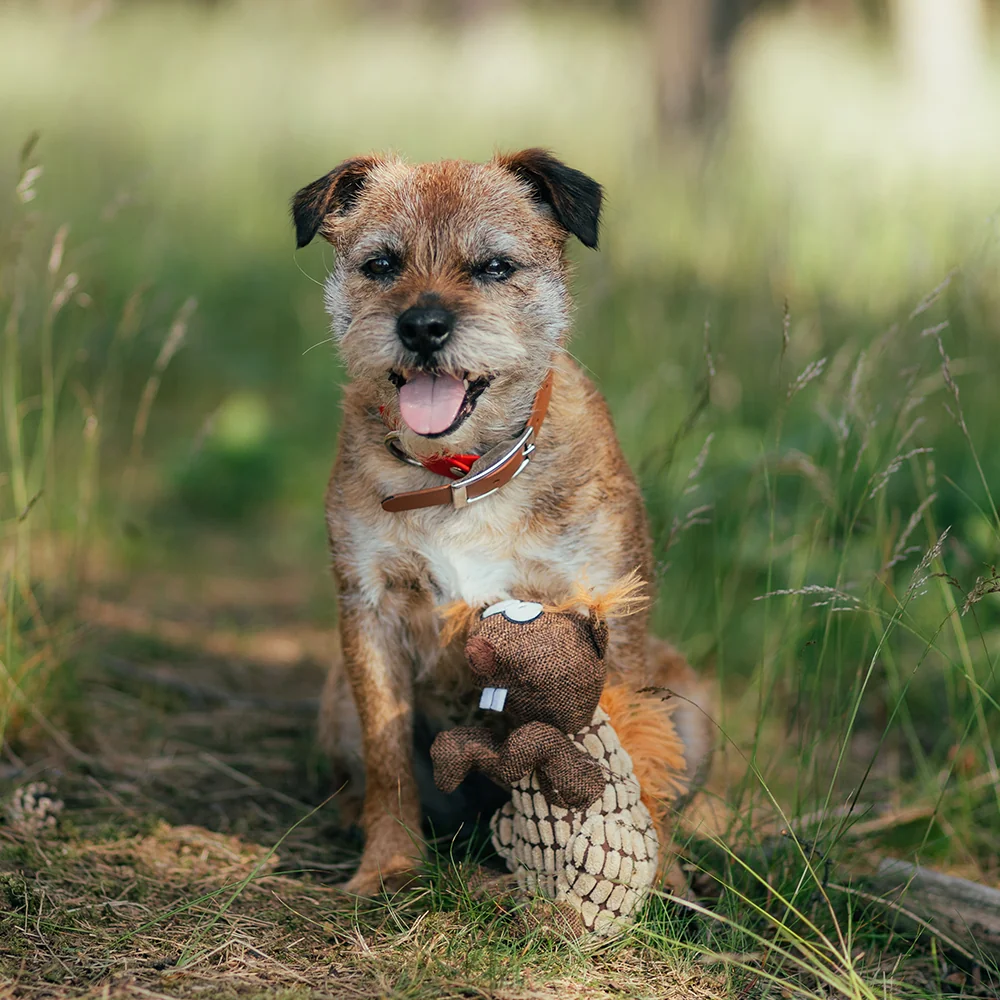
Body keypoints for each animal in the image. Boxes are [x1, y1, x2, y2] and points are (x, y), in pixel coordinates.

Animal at [292, 148, 716, 892]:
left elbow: (639, 756)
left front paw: (658, 880)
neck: (460, 476)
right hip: (337, 697)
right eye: (381, 264)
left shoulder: (607, 612)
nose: (423, 326)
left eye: (494, 267)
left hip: (693, 700)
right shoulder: (370, 612)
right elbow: (388, 756)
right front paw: (388, 865)